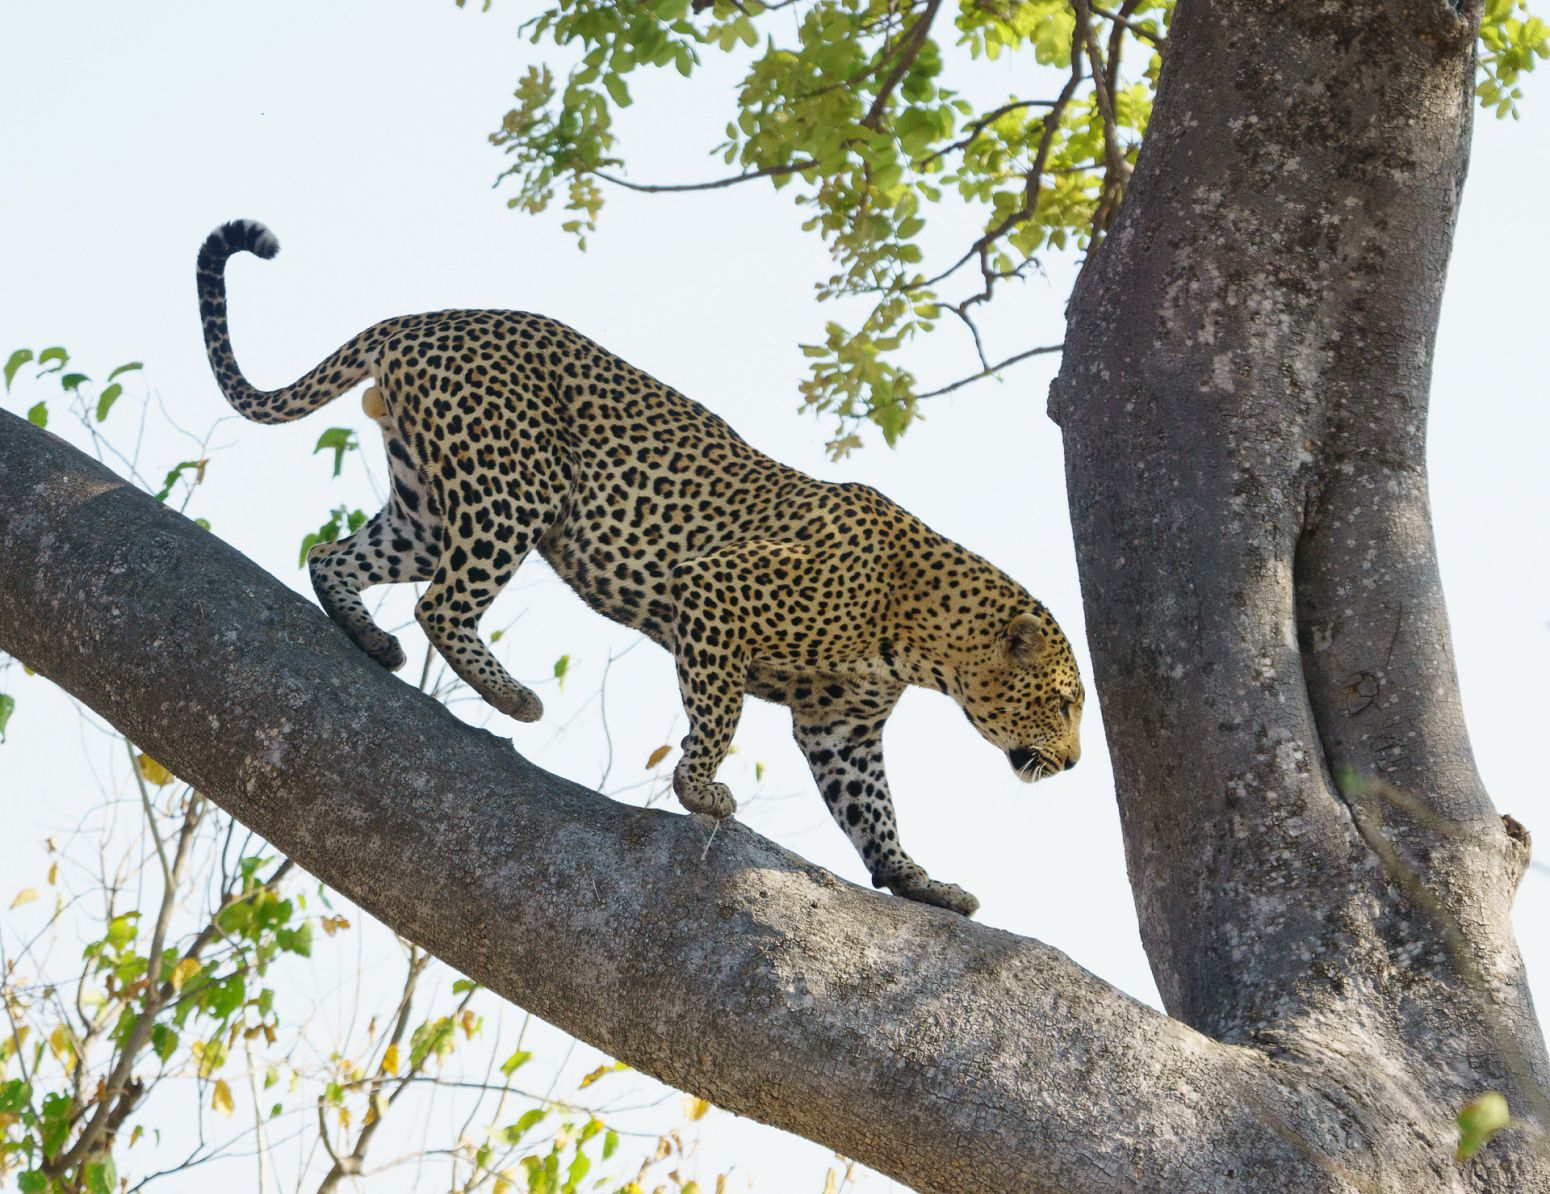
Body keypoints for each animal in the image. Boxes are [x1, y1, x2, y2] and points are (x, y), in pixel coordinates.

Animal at [199, 218, 1085, 917]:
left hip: (426, 503)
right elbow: (719, 716)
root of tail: (424, 318)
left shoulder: (842, 728)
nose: (1075, 763)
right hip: (517, 486)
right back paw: (510, 696)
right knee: (443, 602)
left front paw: (919, 881)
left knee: (335, 556)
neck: (922, 633)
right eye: (1066, 703)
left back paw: (371, 642)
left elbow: (875, 813)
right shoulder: (716, 593)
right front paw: (701, 792)